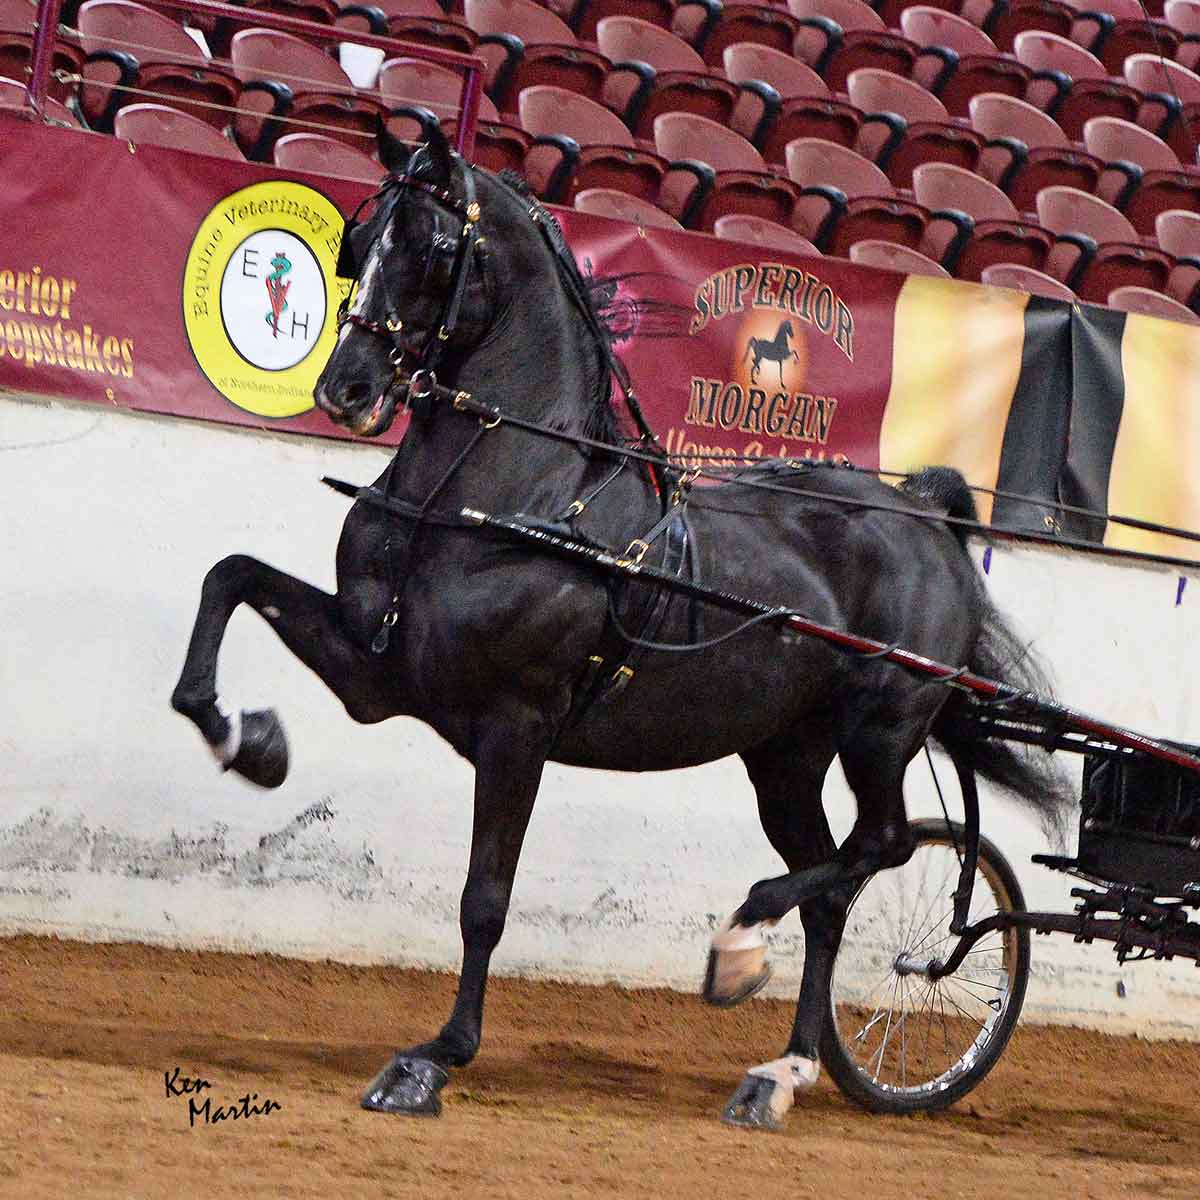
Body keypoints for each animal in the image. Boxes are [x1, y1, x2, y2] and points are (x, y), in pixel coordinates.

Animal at [171, 121, 1069, 1131]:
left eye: (435, 250)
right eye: (355, 246)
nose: (346, 390)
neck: (504, 502)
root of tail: (922, 511)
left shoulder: (517, 726)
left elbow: (485, 899)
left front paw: (432, 1060)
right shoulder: (376, 670)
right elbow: (229, 577)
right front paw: (248, 740)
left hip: (880, 727)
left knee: (880, 843)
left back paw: (740, 944)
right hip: (783, 754)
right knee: (832, 889)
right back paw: (781, 1069)